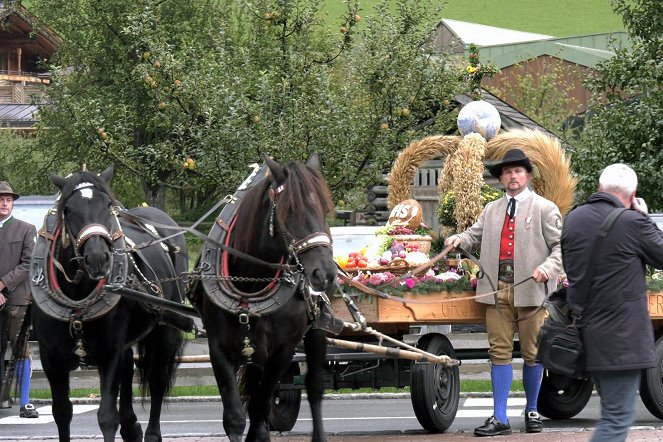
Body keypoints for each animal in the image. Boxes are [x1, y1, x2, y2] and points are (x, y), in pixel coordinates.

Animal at [32, 167, 191, 442]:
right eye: (68, 209)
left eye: (107, 205)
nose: (98, 257)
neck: (77, 298)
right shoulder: (50, 357)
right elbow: (61, 412)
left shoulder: (109, 353)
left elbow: (106, 416)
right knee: (128, 367)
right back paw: (132, 427)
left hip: (165, 329)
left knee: (157, 380)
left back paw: (151, 433)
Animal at [191, 154, 338, 440]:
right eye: (290, 211)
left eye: (325, 209)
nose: (325, 273)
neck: (250, 284)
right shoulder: (218, 347)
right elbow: (235, 417)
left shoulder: (282, 350)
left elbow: (260, 407)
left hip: (317, 329)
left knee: (314, 387)